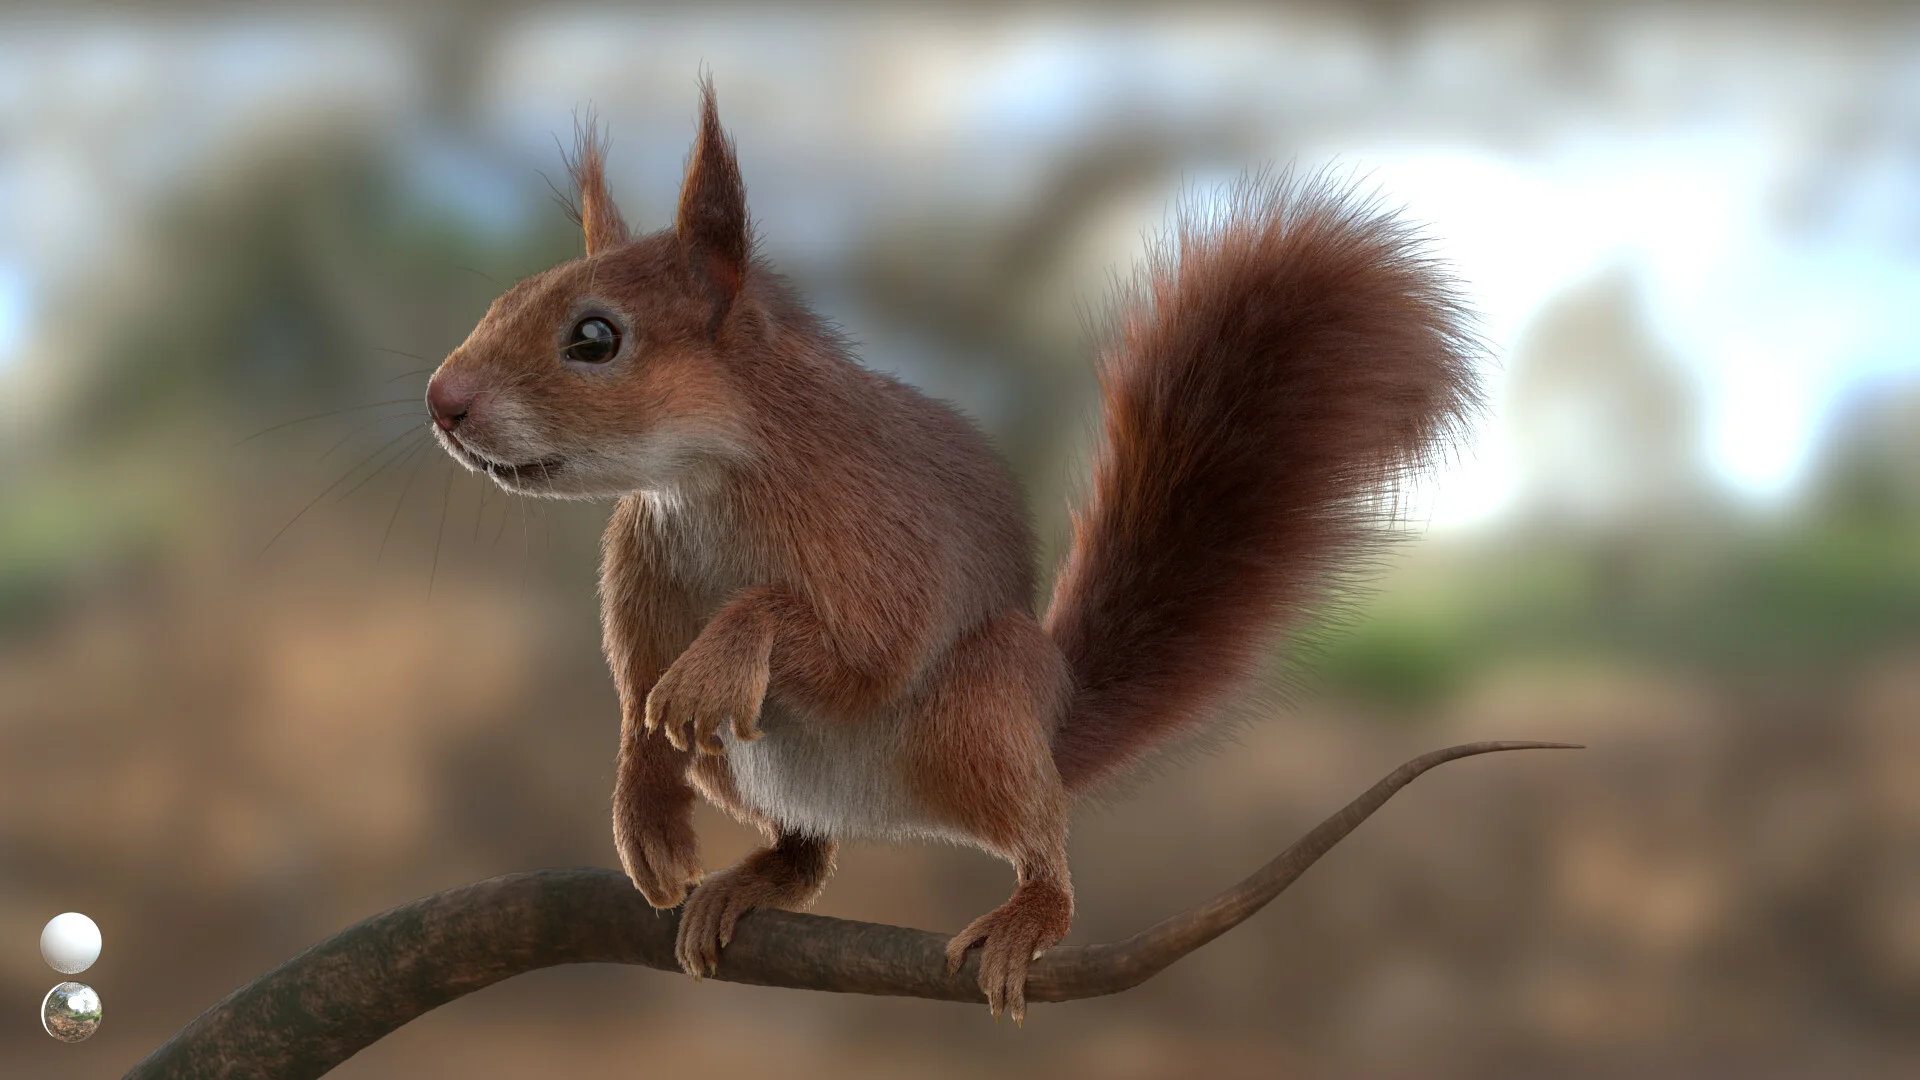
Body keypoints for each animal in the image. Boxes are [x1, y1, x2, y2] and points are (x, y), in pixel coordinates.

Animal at [423, 79, 1479, 1022]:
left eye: (595, 337)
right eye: (506, 297)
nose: (444, 401)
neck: (703, 482)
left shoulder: (876, 537)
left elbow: (862, 649)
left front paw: (719, 662)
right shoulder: (639, 577)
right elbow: (637, 700)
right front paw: (645, 819)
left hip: (978, 713)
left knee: (1038, 834)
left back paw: (1030, 913)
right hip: (751, 772)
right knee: (809, 851)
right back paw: (749, 881)